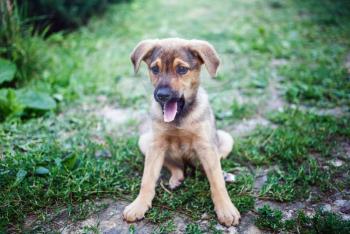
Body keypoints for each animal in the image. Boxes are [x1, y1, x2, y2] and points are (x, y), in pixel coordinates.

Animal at [123, 38, 241, 227]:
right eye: (155, 69)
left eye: (182, 69)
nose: (162, 95)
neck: (178, 118)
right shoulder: (156, 145)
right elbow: (147, 179)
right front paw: (139, 205)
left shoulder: (206, 146)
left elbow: (216, 182)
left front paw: (226, 209)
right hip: (144, 141)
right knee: (175, 165)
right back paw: (176, 179)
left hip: (225, 139)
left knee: (208, 168)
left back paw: (222, 174)